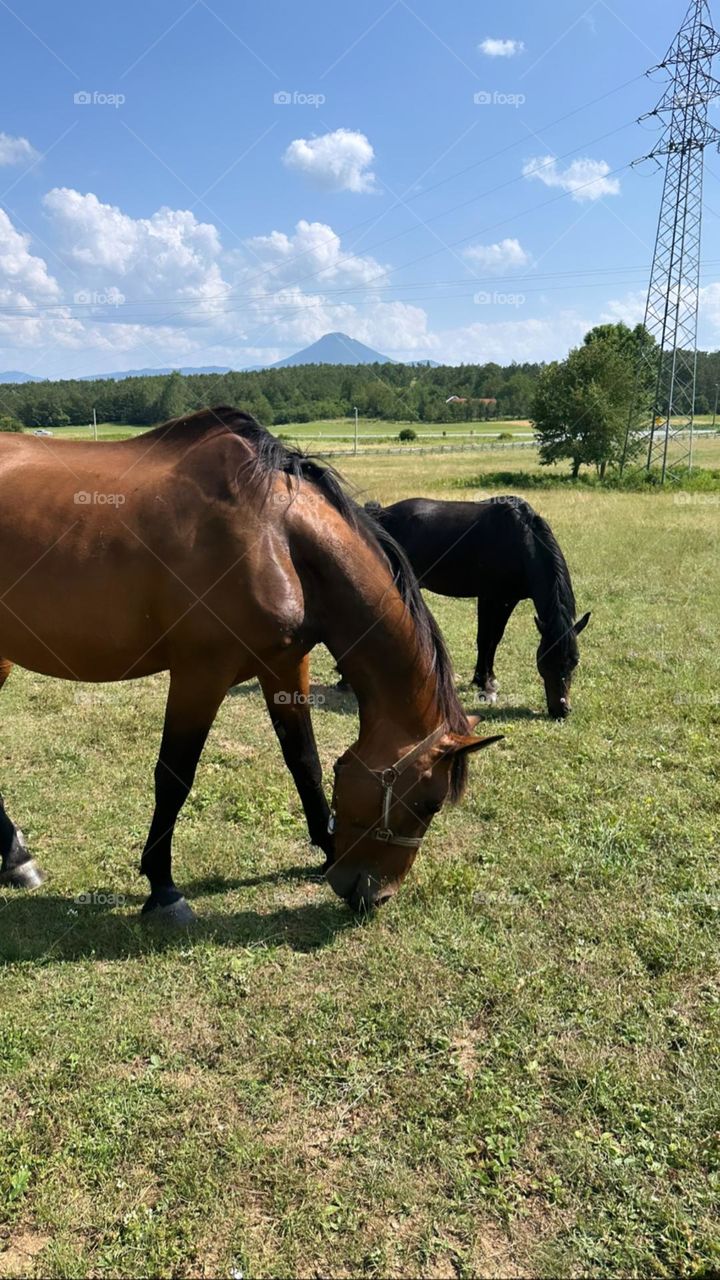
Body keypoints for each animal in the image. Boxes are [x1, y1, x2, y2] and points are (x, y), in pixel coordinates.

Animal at [0, 407, 501, 920]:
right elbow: (174, 776)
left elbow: (304, 759)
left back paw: (16, 859)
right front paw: (163, 888)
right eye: (428, 804)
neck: (276, 538)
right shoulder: (201, 673)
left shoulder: (285, 665)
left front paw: (325, 848)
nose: (374, 894)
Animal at [362, 497, 590, 719]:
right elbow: (485, 639)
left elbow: (494, 639)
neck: (520, 541)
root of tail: (380, 514)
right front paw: (484, 683)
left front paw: (486, 678)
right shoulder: (490, 597)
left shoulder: (509, 599)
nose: (561, 710)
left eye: (575, 661)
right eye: (545, 661)